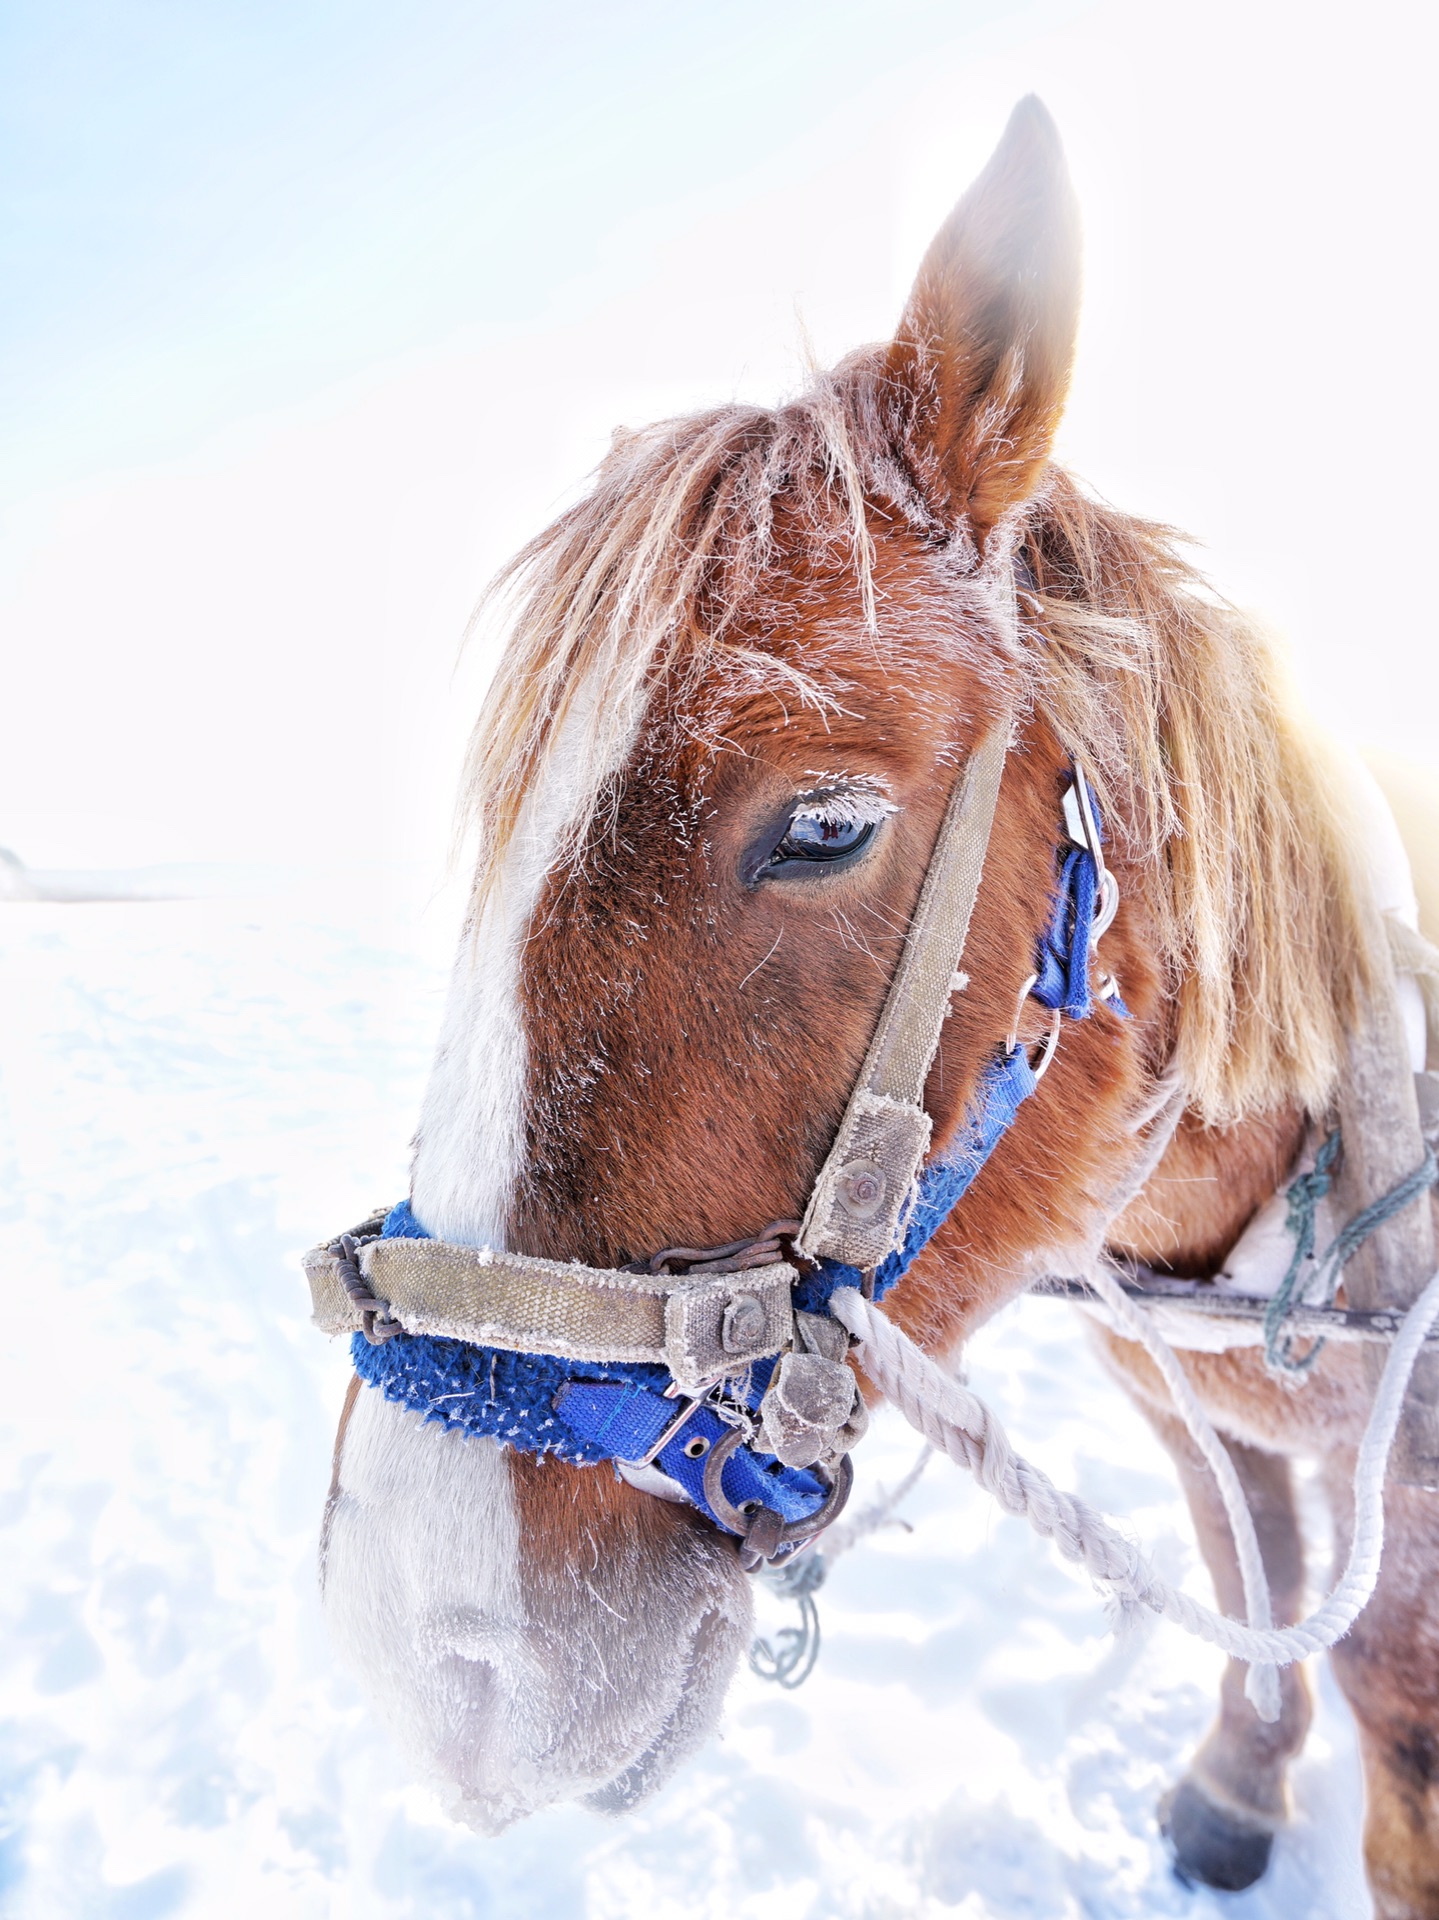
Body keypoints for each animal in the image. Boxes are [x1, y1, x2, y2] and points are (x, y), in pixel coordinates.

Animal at [309, 97, 1437, 1912]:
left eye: (823, 829)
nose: (432, 1650)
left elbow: (1383, 1690)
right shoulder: (1185, 1415)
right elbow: (1251, 1572)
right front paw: (1236, 1780)